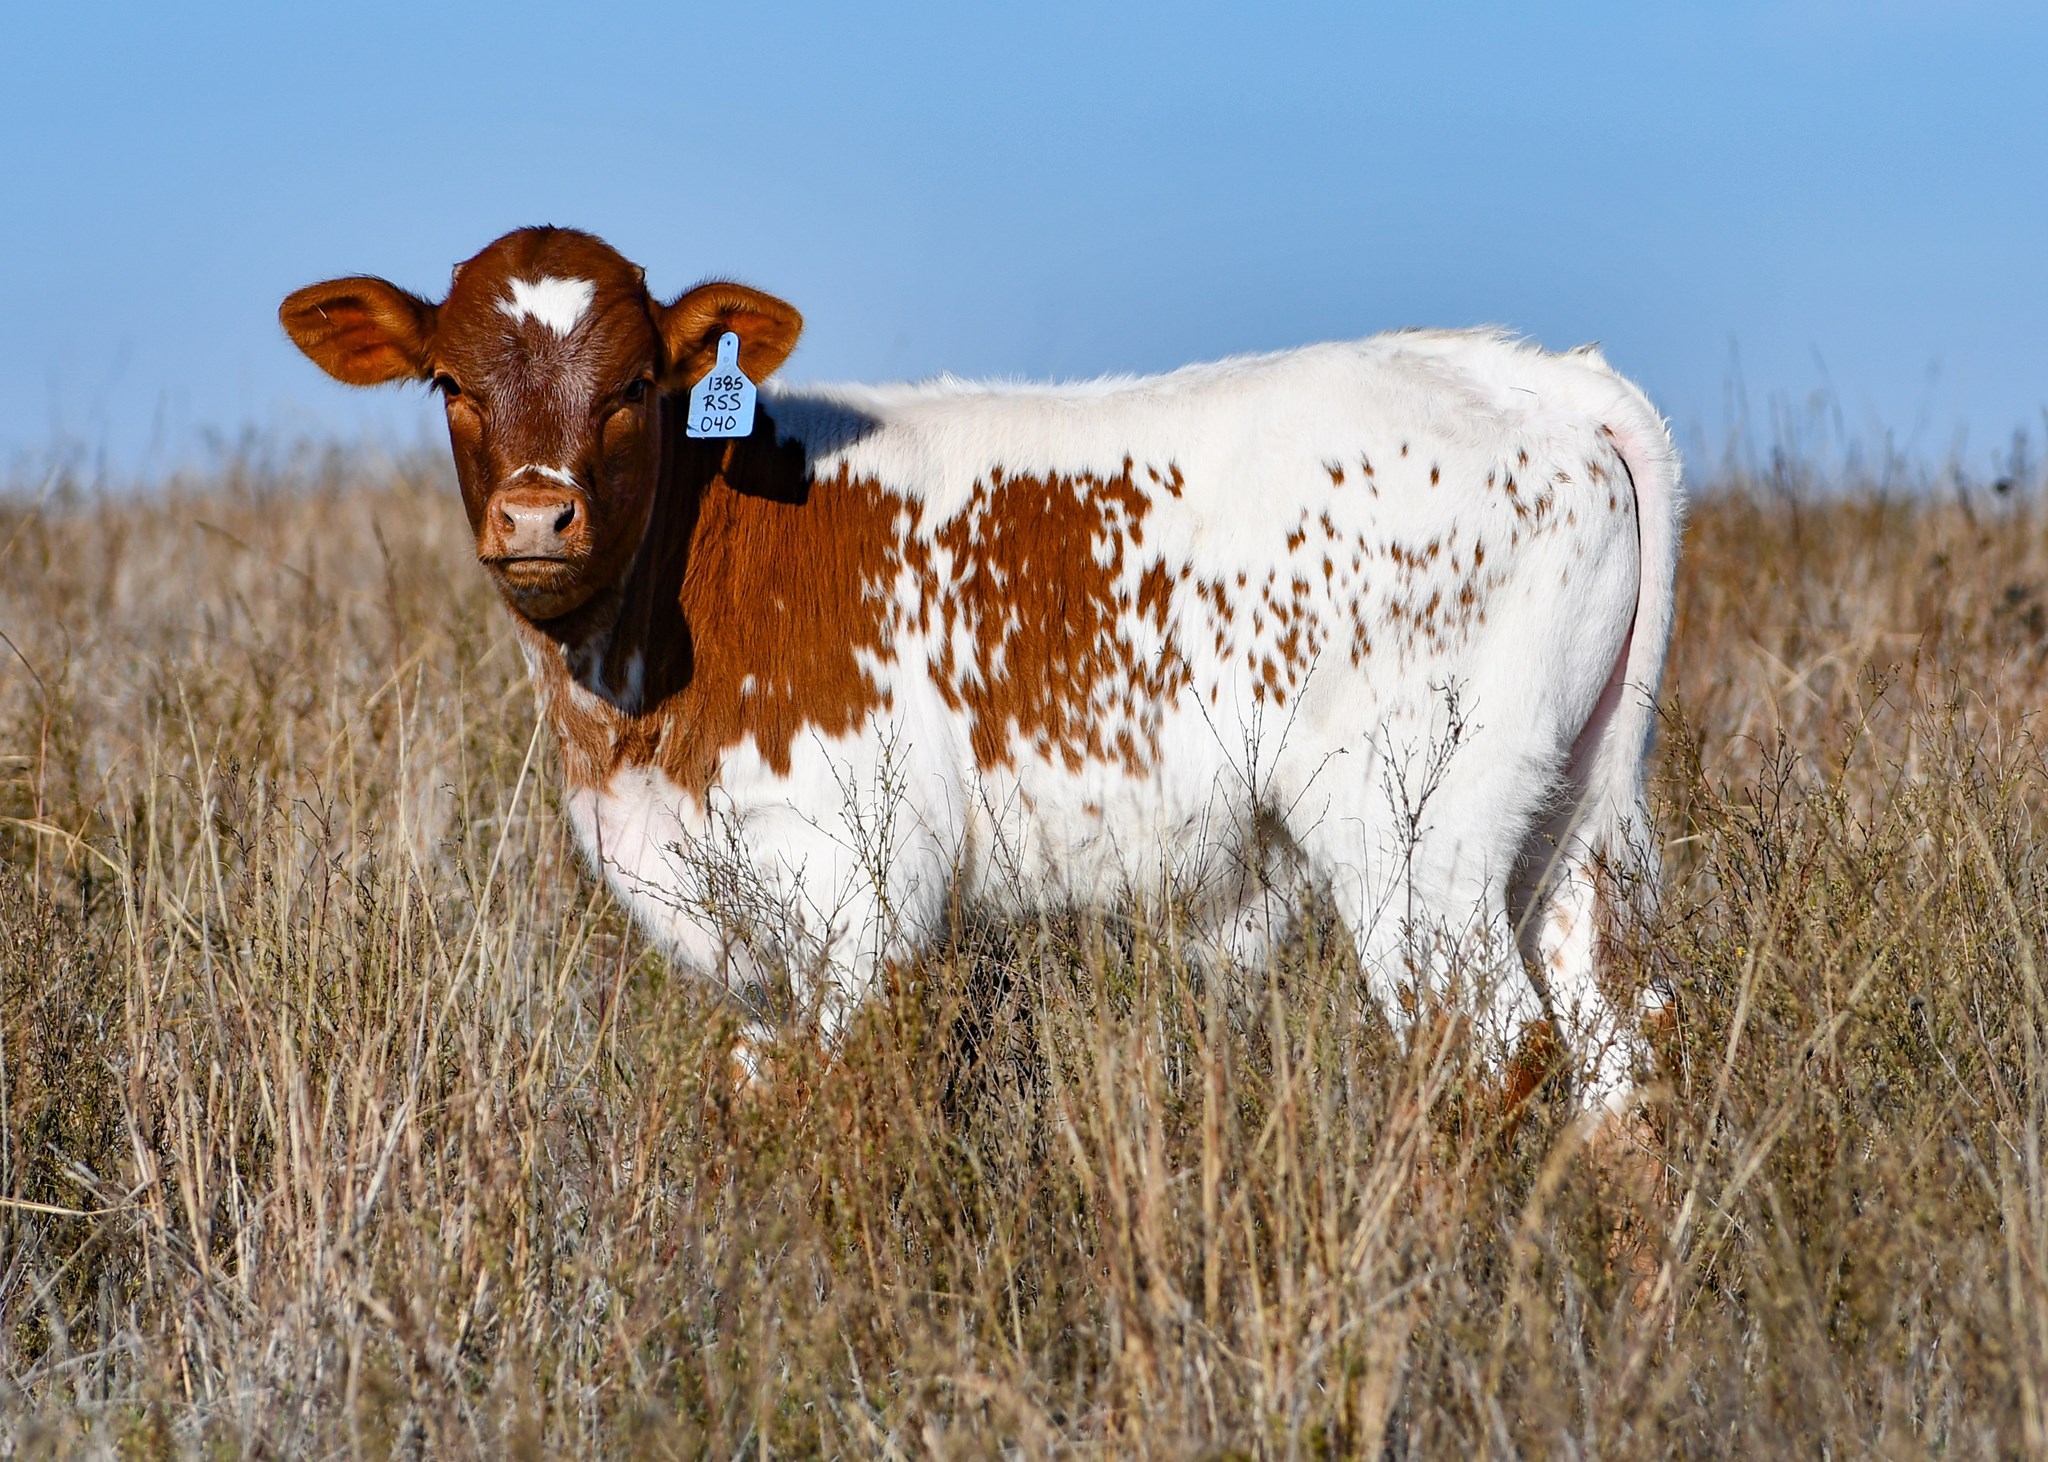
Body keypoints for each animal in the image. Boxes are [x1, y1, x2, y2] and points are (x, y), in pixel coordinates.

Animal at [280, 226, 1682, 1106]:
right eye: (450, 383)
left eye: (633, 385)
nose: (536, 516)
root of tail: (1532, 379)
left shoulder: (859, 885)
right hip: (1557, 828)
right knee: (1616, 1051)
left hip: (1411, 830)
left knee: (1492, 1049)